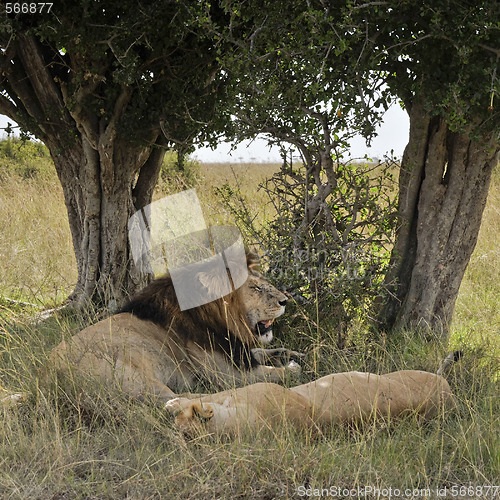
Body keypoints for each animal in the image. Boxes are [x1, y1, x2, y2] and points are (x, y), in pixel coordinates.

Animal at [50, 252, 302, 400]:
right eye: (256, 288)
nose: (285, 300)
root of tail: (49, 374)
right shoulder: (228, 373)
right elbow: (276, 372)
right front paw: (292, 367)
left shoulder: (234, 350)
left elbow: (264, 351)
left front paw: (294, 354)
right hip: (135, 378)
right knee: (179, 400)